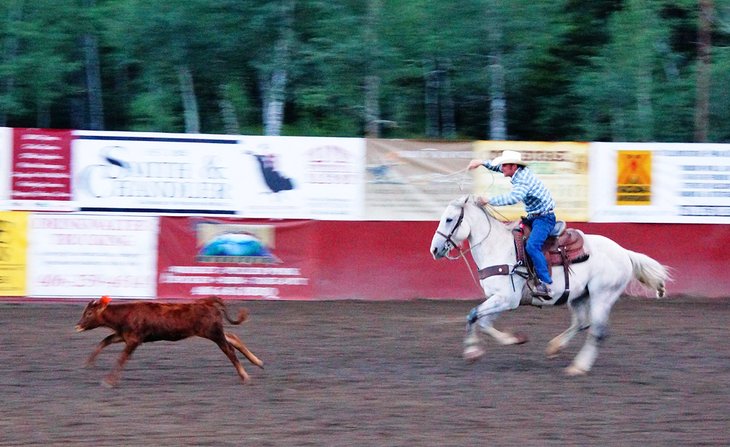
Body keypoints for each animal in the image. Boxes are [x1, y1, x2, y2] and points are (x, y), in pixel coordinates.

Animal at [75, 296, 264, 386]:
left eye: (89, 313)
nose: (78, 326)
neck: (125, 314)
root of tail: (208, 302)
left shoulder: (134, 340)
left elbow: (121, 359)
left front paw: (108, 381)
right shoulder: (123, 335)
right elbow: (105, 341)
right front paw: (88, 362)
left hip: (213, 333)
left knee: (229, 350)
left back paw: (245, 376)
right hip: (213, 332)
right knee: (233, 337)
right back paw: (258, 362)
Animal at [430, 195, 668, 374]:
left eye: (449, 219)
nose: (435, 249)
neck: (498, 248)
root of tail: (624, 253)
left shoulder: (507, 298)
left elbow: (473, 315)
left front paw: (471, 351)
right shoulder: (499, 298)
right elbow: (483, 323)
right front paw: (513, 340)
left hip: (603, 296)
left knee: (597, 331)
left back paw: (578, 367)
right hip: (579, 296)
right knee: (582, 323)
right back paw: (555, 347)